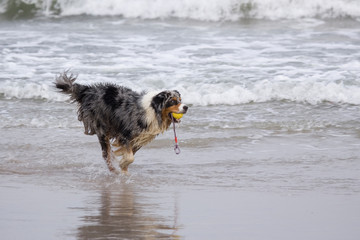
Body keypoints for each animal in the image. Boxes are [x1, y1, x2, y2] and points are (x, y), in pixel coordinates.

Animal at [55, 71, 188, 172]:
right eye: (173, 101)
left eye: (180, 100)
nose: (186, 107)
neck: (153, 109)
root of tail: (89, 89)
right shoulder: (126, 134)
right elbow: (130, 157)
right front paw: (123, 166)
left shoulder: (139, 138)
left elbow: (130, 153)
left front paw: (123, 165)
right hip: (101, 127)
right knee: (105, 154)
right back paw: (113, 170)